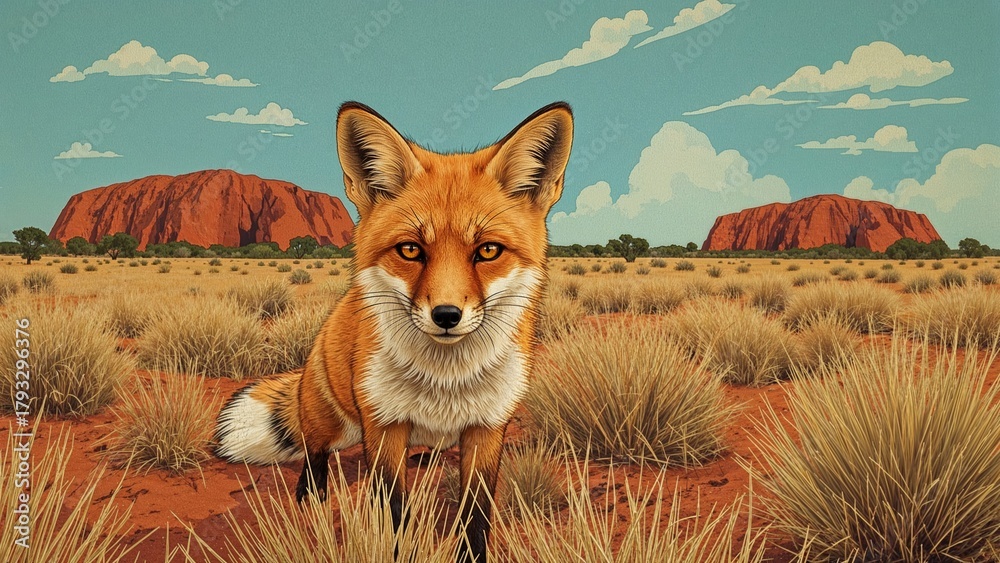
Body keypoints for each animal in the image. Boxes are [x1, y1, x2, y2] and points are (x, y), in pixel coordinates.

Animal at [214, 101, 573, 563]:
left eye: (488, 250)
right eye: (410, 249)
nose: (446, 315)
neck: (445, 382)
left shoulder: (487, 428)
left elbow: (475, 515)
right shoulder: (384, 425)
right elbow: (391, 510)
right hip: (330, 418)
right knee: (314, 451)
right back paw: (311, 498)